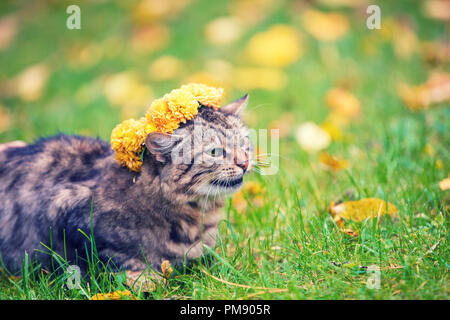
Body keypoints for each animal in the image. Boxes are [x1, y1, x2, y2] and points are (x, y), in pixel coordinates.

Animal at [0, 94, 251, 284]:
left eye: (244, 143)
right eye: (214, 152)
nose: (245, 163)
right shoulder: (66, 213)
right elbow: (121, 259)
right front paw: (150, 279)